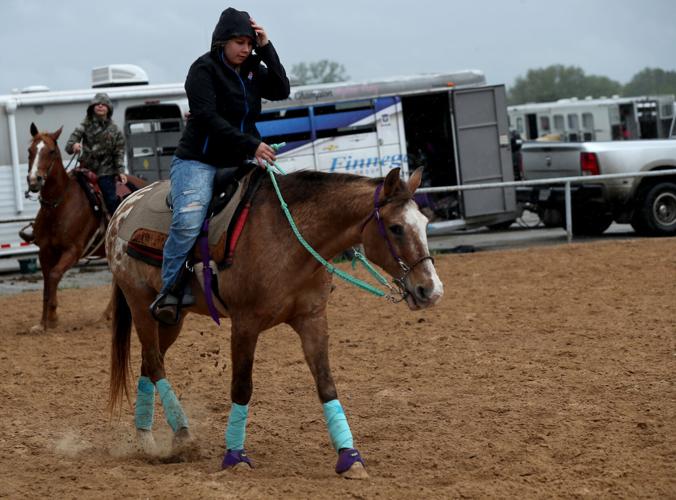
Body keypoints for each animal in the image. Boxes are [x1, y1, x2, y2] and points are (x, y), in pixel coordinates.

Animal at [26, 123, 145, 334]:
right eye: (30, 151)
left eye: (51, 151)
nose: (34, 180)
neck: (58, 205)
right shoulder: (45, 251)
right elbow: (47, 283)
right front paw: (42, 323)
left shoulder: (73, 250)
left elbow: (54, 275)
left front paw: (53, 317)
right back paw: (106, 315)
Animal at [105, 164, 444, 476]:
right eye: (396, 227)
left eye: (425, 223)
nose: (431, 290)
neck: (288, 236)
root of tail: (124, 206)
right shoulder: (245, 324)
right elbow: (242, 386)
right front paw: (235, 456)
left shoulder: (312, 319)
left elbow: (326, 385)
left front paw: (349, 457)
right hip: (139, 304)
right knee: (154, 362)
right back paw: (182, 435)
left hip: (171, 319)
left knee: (149, 363)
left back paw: (147, 440)